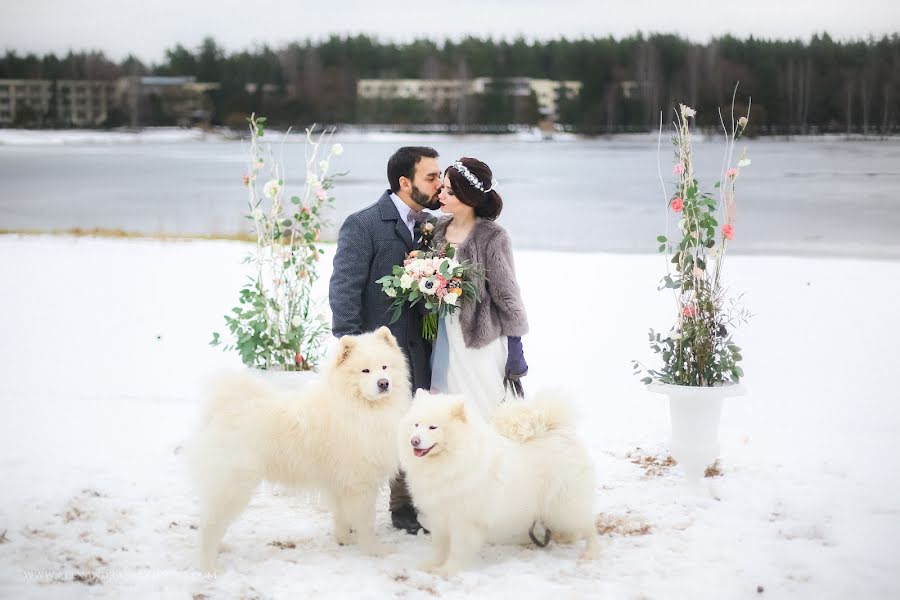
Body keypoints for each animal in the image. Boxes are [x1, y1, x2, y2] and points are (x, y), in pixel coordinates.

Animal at [192, 328, 414, 572]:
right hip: (233, 485)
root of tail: (224, 408)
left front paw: (344, 539)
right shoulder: (360, 483)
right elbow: (365, 521)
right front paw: (374, 549)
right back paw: (209, 567)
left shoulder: (340, 483)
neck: (357, 406)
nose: (384, 383)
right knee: (209, 525)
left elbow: (341, 515)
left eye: (385, 367)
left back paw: (221, 548)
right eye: (365, 370)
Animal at [400, 390, 596, 576]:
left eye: (433, 427)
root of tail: (558, 429)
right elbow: (439, 547)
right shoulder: (439, 517)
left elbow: (457, 550)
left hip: (566, 503)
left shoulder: (463, 520)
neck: (451, 463)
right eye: (416, 425)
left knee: (589, 527)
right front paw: (432, 565)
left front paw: (449, 570)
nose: (414, 441)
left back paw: (591, 552)